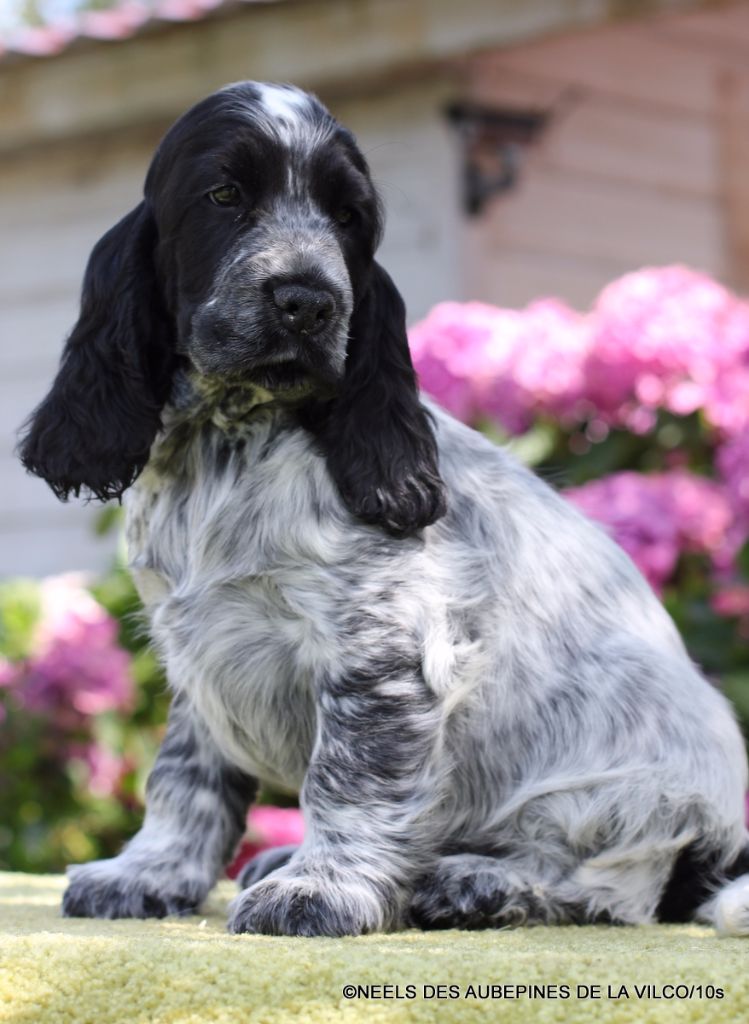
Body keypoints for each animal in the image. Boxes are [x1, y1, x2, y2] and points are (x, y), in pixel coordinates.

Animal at [19, 86, 749, 937]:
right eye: (225, 196)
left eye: (348, 218)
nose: (307, 300)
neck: (231, 437)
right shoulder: (198, 650)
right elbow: (184, 775)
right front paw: (150, 872)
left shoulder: (382, 649)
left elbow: (349, 781)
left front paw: (318, 890)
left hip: (619, 784)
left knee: (608, 883)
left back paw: (476, 883)